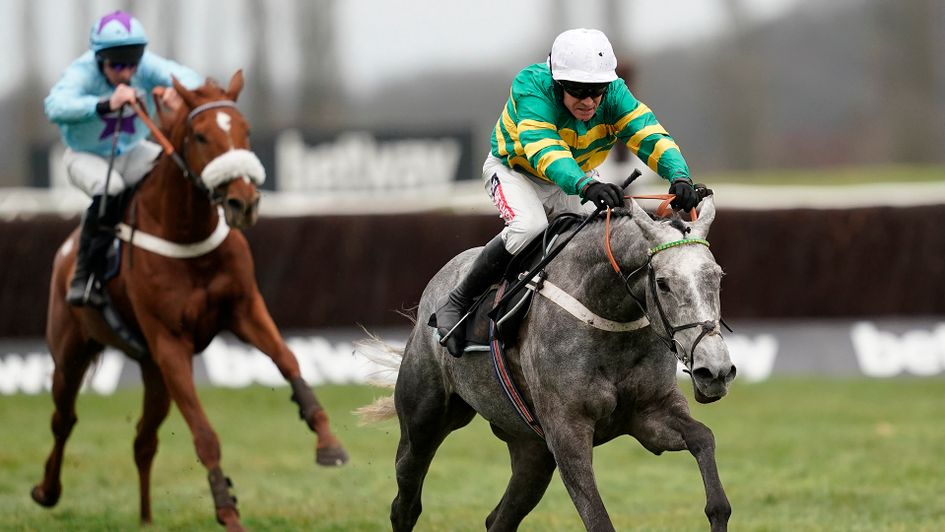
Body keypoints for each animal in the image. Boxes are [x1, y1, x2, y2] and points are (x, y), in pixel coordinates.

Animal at [30, 69, 346, 528]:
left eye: (247, 130)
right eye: (199, 135)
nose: (244, 202)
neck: (186, 235)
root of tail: (67, 250)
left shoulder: (244, 308)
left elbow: (288, 359)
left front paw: (328, 442)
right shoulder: (170, 343)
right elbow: (204, 434)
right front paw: (228, 511)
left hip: (152, 372)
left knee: (143, 439)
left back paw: (146, 519)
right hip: (72, 351)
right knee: (63, 419)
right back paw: (47, 490)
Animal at [362, 197, 736, 528]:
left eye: (717, 276)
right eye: (663, 282)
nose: (715, 370)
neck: (605, 312)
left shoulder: (648, 414)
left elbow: (703, 439)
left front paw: (716, 509)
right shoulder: (567, 432)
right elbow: (597, 519)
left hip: (532, 451)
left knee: (499, 518)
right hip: (422, 424)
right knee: (405, 504)